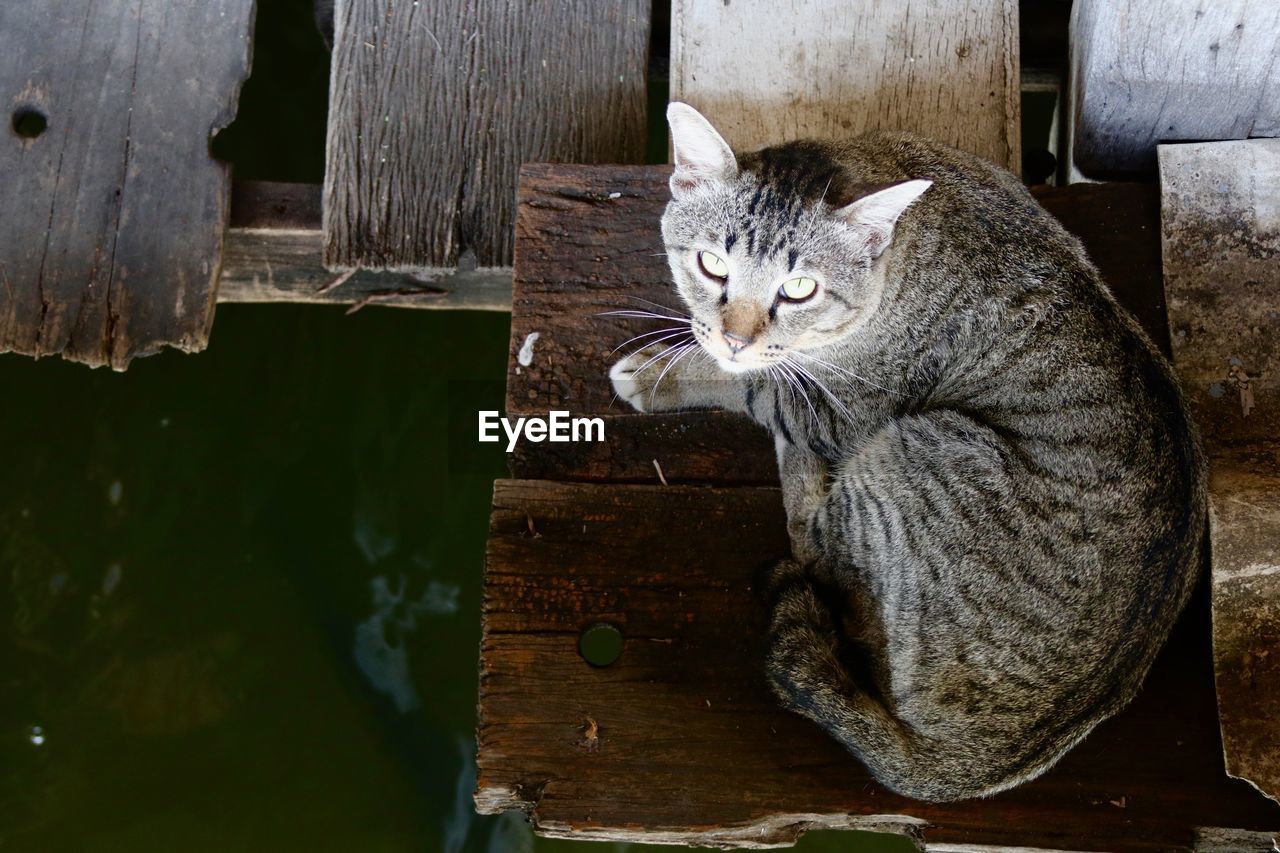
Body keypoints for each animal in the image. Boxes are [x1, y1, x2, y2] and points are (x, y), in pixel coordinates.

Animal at [611, 103, 1208, 799]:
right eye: (711, 264)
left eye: (800, 288)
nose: (736, 338)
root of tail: (969, 762)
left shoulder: (841, 411)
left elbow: (761, 385)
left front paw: (666, 371)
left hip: (916, 447)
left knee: (816, 543)